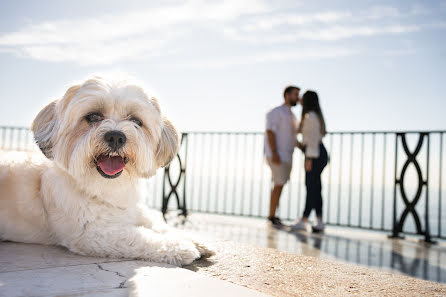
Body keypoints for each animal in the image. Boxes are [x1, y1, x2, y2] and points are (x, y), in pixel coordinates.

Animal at [0, 75, 213, 264]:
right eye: (93, 116)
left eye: (136, 121)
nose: (116, 137)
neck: (108, 188)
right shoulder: (93, 234)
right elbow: (140, 238)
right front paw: (180, 247)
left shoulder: (136, 211)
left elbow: (159, 225)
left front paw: (193, 239)